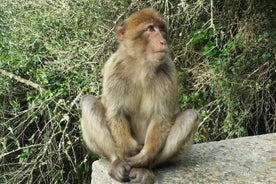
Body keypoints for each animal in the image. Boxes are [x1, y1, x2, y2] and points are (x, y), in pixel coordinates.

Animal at [80, 8, 198, 183]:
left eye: (161, 30)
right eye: (150, 29)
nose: (163, 41)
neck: (141, 65)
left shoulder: (168, 71)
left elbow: (161, 117)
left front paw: (144, 158)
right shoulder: (113, 69)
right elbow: (116, 113)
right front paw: (128, 149)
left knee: (190, 116)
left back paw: (144, 166)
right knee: (88, 102)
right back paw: (117, 161)